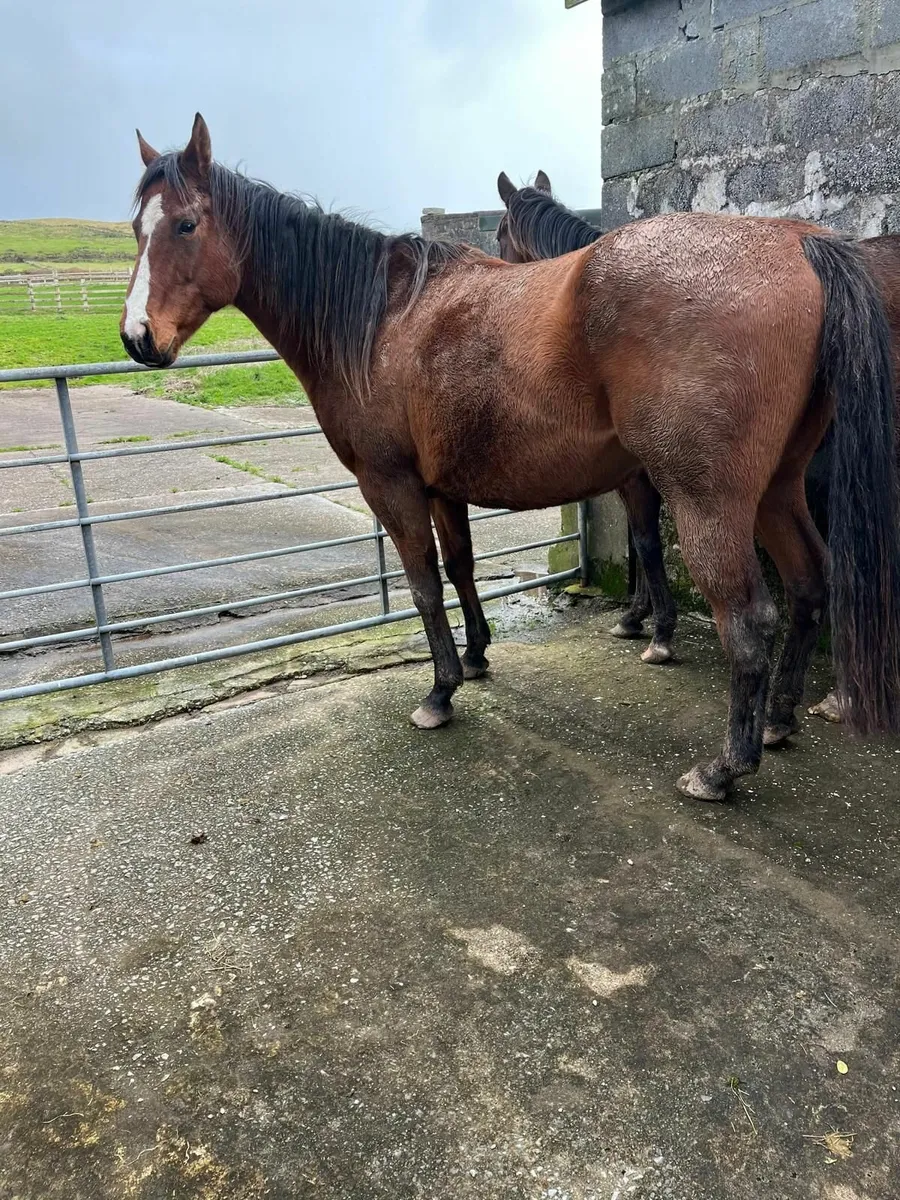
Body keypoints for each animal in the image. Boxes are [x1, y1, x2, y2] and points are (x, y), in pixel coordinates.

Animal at [497, 170, 900, 728]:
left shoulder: (638, 480)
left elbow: (645, 544)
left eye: (498, 236)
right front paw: (641, 617)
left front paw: (653, 628)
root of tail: (808, 247)